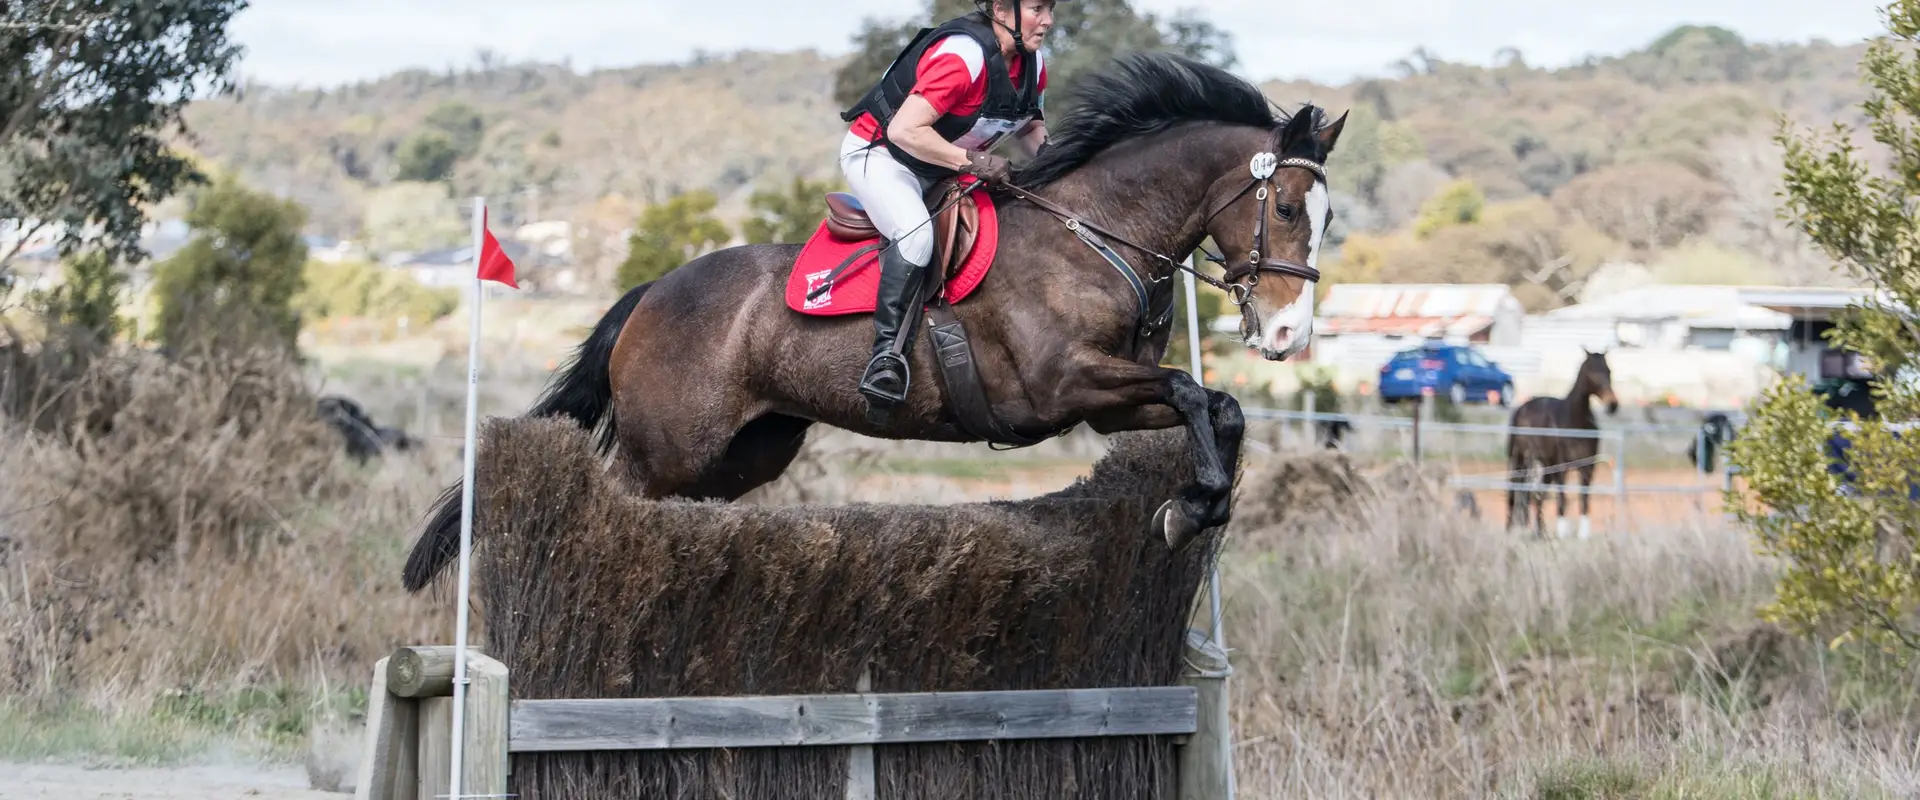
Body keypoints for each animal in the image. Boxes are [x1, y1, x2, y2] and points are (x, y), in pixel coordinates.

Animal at [399, 52, 1348, 591]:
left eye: (1327, 214)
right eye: (1287, 207)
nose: (1288, 337)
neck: (1095, 232)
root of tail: (654, 291)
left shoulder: (1108, 400)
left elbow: (1216, 405)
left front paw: (1196, 506)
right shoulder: (1063, 387)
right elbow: (1192, 391)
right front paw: (1190, 508)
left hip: (747, 450)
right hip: (668, 445)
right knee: (616, 496)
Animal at [1504, 349, 1619, 539]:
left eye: (1608, 371)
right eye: (1592, 372)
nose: (1613, 405)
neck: (1575, 422)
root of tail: (1521, 409)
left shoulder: (1587, 467)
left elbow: (1584, 499)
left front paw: (1583, 535)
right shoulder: (1562, 466)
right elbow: (1562, 498)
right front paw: (1563, 533)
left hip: (1545, 466)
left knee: (1536, 495)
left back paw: (1540, 534)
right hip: (1521, 460)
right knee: (1514, 491)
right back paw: (1510, 530)